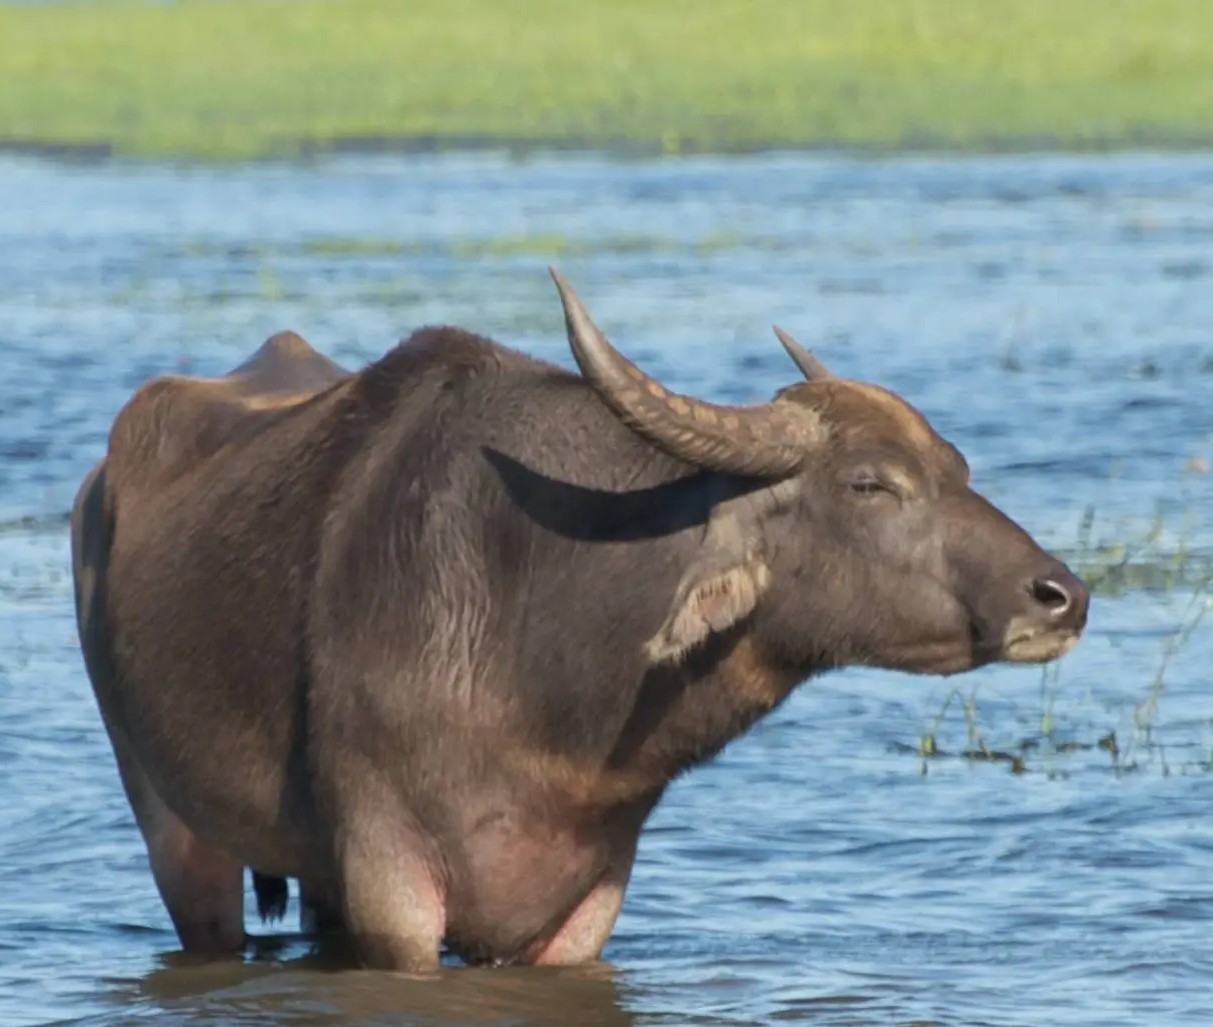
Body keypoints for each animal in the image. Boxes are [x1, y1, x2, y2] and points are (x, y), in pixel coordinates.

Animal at [70, 268, 1088, 971]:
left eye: (956, 465)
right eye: (871, 484)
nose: (1062, 595)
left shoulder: (584, 900)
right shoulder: (391, 885)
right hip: (169, 820)